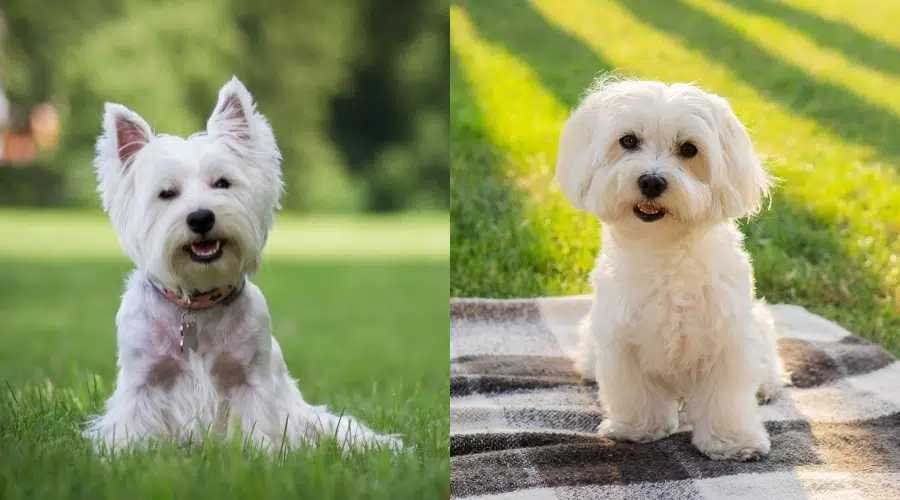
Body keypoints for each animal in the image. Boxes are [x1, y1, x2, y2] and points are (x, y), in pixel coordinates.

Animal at [83, 76, 400, 456]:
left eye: (222, 182)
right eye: (166, 193)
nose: (201, 218)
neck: (196, 305)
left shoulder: (249, 380)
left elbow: (257, 425)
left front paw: (261, 455)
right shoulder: (143, 380)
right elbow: (131, 426)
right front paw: (123, 454)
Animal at [552, 79, 784, 460]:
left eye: (689, 149)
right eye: (628, 141)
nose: (651, 181)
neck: (663, 250)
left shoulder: (727, 337)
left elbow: (727, 399)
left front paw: (733, 441)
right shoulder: (622, 338)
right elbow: (634, 392)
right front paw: (638, 428)